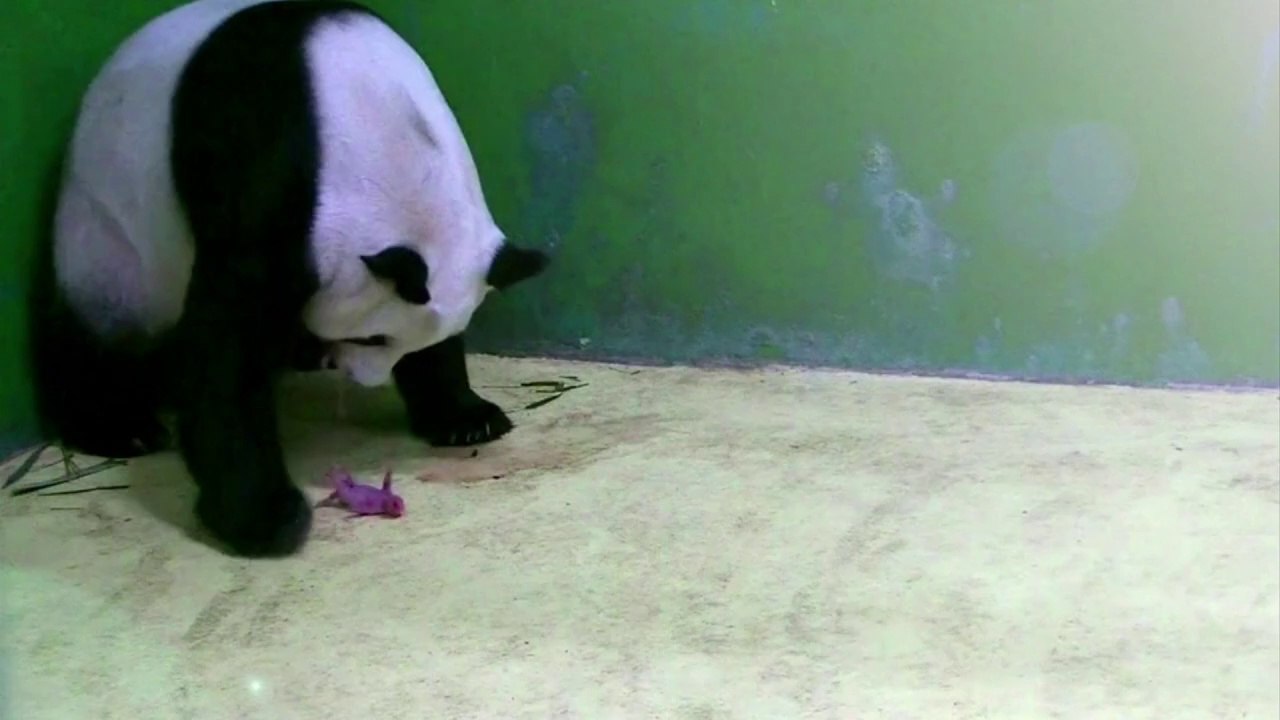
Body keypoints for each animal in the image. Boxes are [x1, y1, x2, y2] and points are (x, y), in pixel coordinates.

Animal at [29, 0, 550, 557]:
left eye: (394, 345)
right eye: (371, 337)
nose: (363, 377)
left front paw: (466, 419)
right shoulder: (265, 175)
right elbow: (227, 342)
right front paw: (265, 517)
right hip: (109, 231)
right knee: (97, 322)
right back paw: (117, 425)